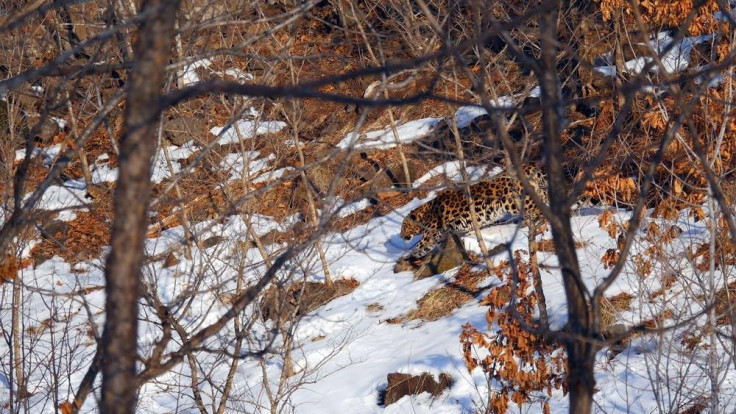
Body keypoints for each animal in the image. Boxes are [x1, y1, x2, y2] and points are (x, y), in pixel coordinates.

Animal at [402, 165, 548, 258]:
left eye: (404, 226)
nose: (401, 236)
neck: (424, 213)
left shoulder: (431, 233)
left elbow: (421, 245)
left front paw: (410, 256)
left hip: (514, 203)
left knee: (537, 209)